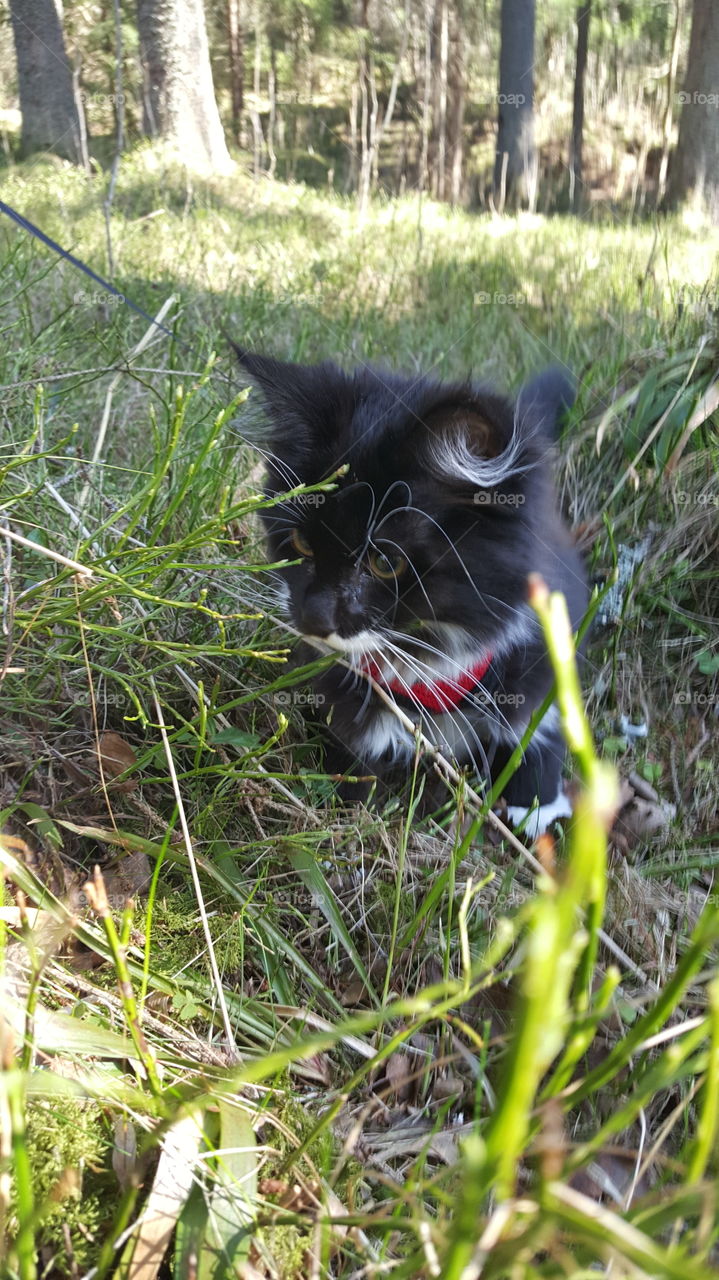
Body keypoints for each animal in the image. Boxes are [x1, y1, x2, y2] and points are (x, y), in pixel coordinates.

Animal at [236, 353, 588, 829]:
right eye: (302, 543)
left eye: (385, 563)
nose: (313, 617)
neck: (431, 663)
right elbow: (355, 757)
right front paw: (352, 812)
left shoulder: (541, 654)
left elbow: (538, 729)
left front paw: (535, 806)